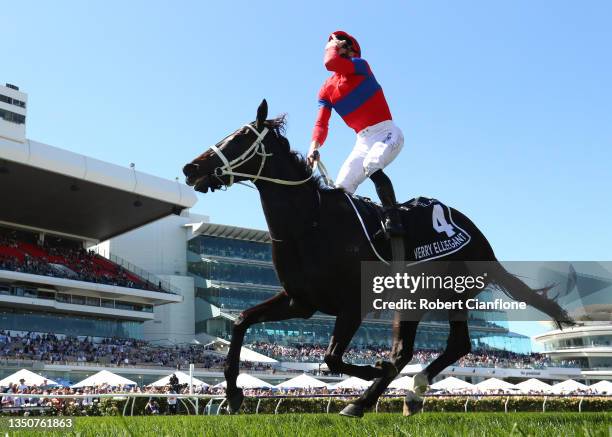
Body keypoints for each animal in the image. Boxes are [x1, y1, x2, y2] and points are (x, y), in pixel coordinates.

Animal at [182, 99, 572, 416]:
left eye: (238, 139)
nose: (191, 168)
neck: (310, 222)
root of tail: (478, 237)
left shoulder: (351, 304)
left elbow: (332, 357)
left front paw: (372, 369)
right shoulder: (300, 301)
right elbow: (240, 321)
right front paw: (233, 394)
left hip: (430, 296)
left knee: (419, 350)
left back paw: (377, 396)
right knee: (442, 346)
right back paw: (400, 394)